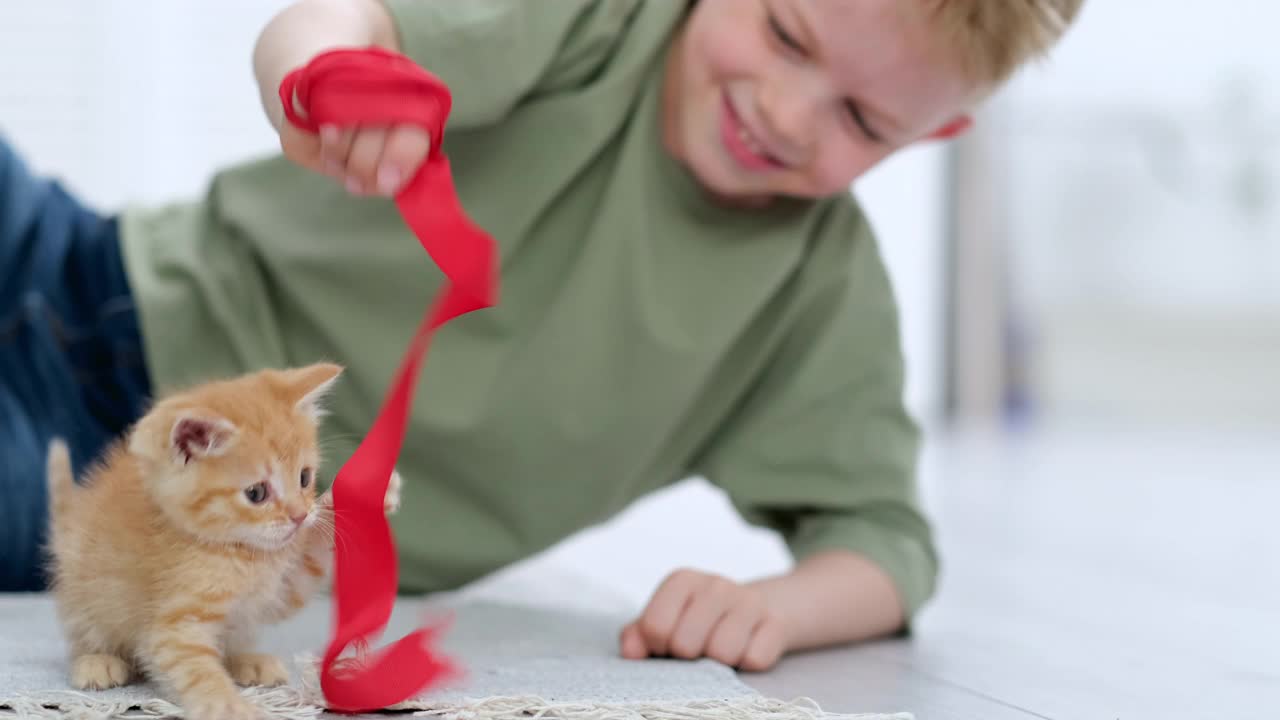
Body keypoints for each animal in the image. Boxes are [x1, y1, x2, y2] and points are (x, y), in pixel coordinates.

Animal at [45, 361, 396, 717]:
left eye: (304, 477)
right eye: (256, 493)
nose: (299, 516)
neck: (243, 554)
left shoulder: (283, 587)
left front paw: (367, 494)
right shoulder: (172, 627)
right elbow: (195, 669)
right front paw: (230, 706)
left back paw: (248, 661)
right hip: (84, 597)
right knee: (84, 635)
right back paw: (96, 661)